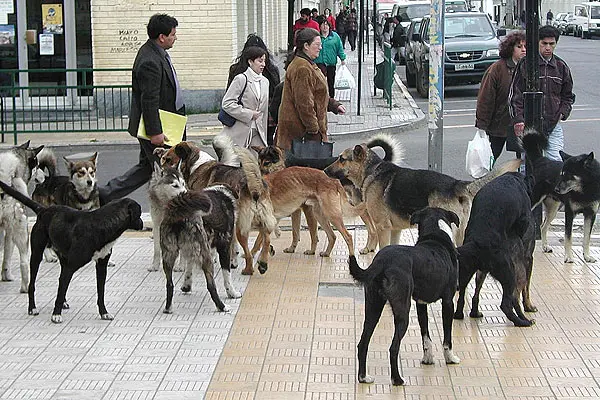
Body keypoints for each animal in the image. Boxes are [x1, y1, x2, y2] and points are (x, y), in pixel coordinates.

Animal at [0, 180, 143, 324]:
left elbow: (100, 292)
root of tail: (44, 210)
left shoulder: (101, 265)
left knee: (60, 281)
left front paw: (104, 313)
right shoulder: (71, 266)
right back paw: (32, 308)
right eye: (140, 213)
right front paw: (56, 315)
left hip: (62, 258)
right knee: (33, 284)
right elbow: (61, 290)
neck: (102, 224)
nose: (142, 224)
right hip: (36, 255)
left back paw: (63, 303)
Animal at [155, 137, 276, 276]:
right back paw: (262, 264)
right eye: (163, 158)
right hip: (262, 219)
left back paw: (248, 269)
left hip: (242, 224)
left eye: (169, 160)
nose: (160, 175)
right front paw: (232, 261)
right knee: (266, 239)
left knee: (249, 253)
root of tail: (255, 187)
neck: (195, 164)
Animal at [346, 206, 460, 384]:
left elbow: (425, 336)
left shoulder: (421, 304)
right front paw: (450, 358)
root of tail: (382, 261)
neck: (436, 236)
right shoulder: (448, 302)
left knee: (363, 343)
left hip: (373, 308)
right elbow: (447, 337)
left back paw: (363, 377)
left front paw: (428, 359)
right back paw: (397, 379)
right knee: (393, 348)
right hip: (402, 311)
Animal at [452, 173, 536, 326]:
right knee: (508, 303)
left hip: (468, 271)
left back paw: (465, 313)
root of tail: (477, 244)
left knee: (463, 294)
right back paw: (522, 321)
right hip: (510, 274)